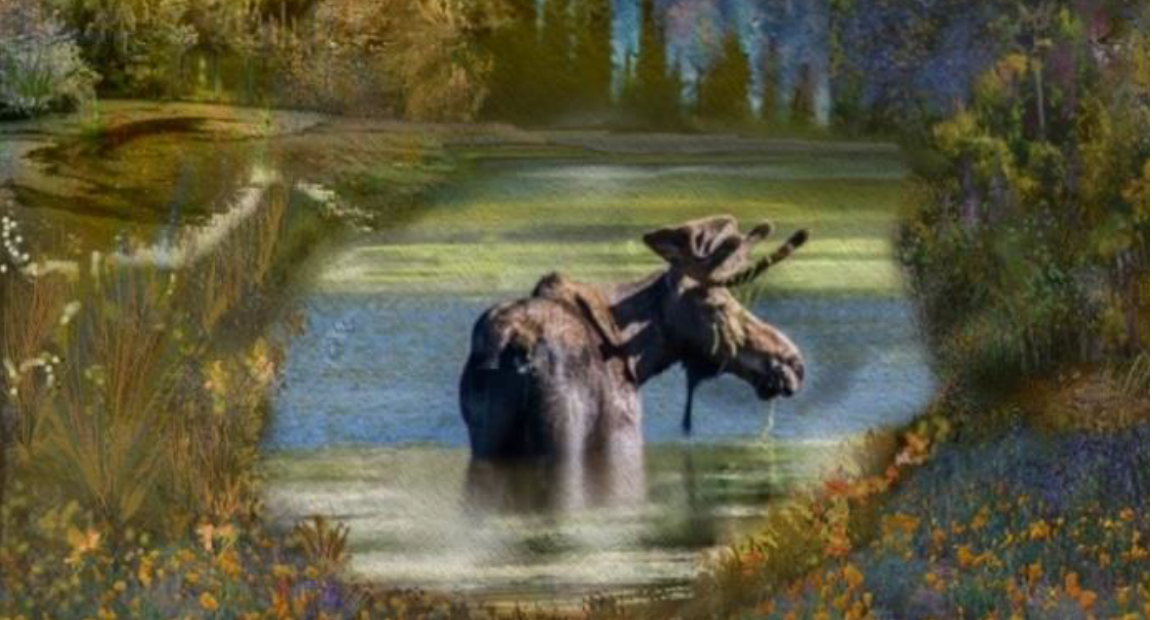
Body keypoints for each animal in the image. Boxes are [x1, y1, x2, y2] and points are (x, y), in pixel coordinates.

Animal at [459, 215, 807, 469]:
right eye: (718, 305)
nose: (793, 363)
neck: (641, 362)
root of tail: (518, 342)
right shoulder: (622, 428)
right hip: (565, 434)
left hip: (486, 437)